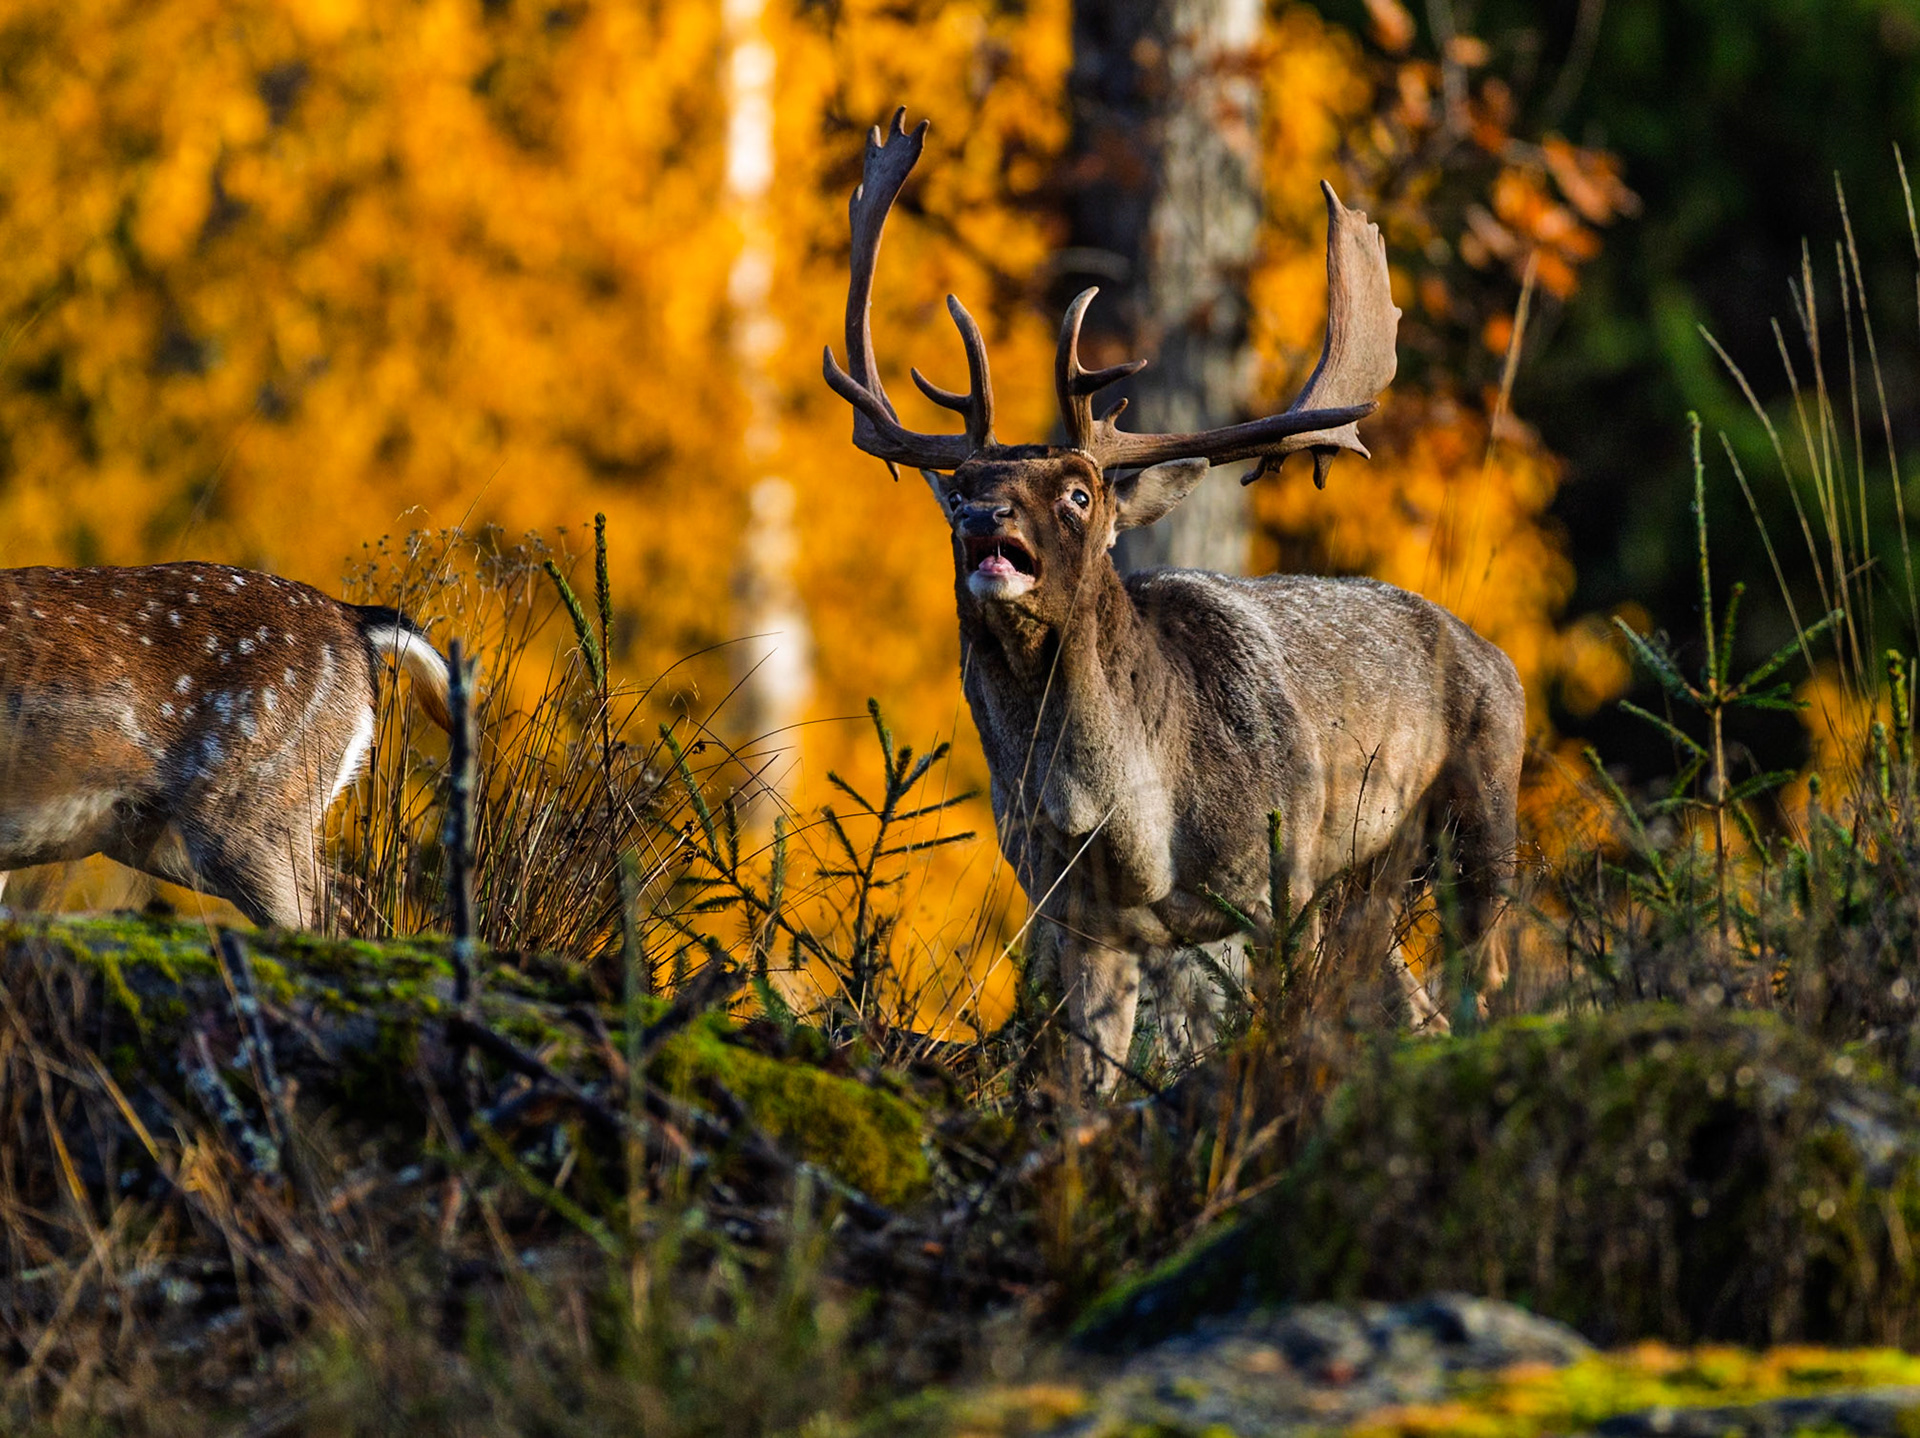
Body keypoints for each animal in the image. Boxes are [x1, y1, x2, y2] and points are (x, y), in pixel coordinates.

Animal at [823, 112, 1526, 1094]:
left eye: (1079, 493)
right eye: (961, 484)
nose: (982, 516)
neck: (1131, 827)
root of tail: (1497, 657)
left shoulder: (1280, 879)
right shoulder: (1075, 917)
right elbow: (1086, 1083)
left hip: (1482, 817)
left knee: (1483, 981)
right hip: (1372, 885)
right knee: (1416, 1006)